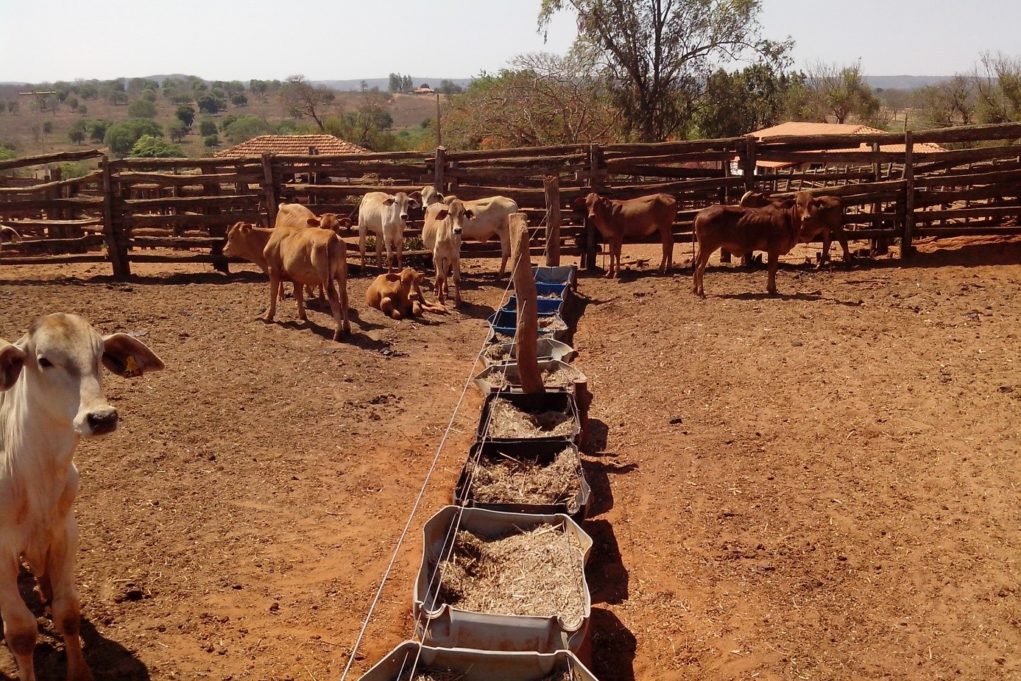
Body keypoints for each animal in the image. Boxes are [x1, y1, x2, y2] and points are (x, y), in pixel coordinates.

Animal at [0, 314, 163, 681]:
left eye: (100, 354)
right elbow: (21, 632)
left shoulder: (65, 532)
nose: (102, 417)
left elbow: (67, 611)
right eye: (44, 360)